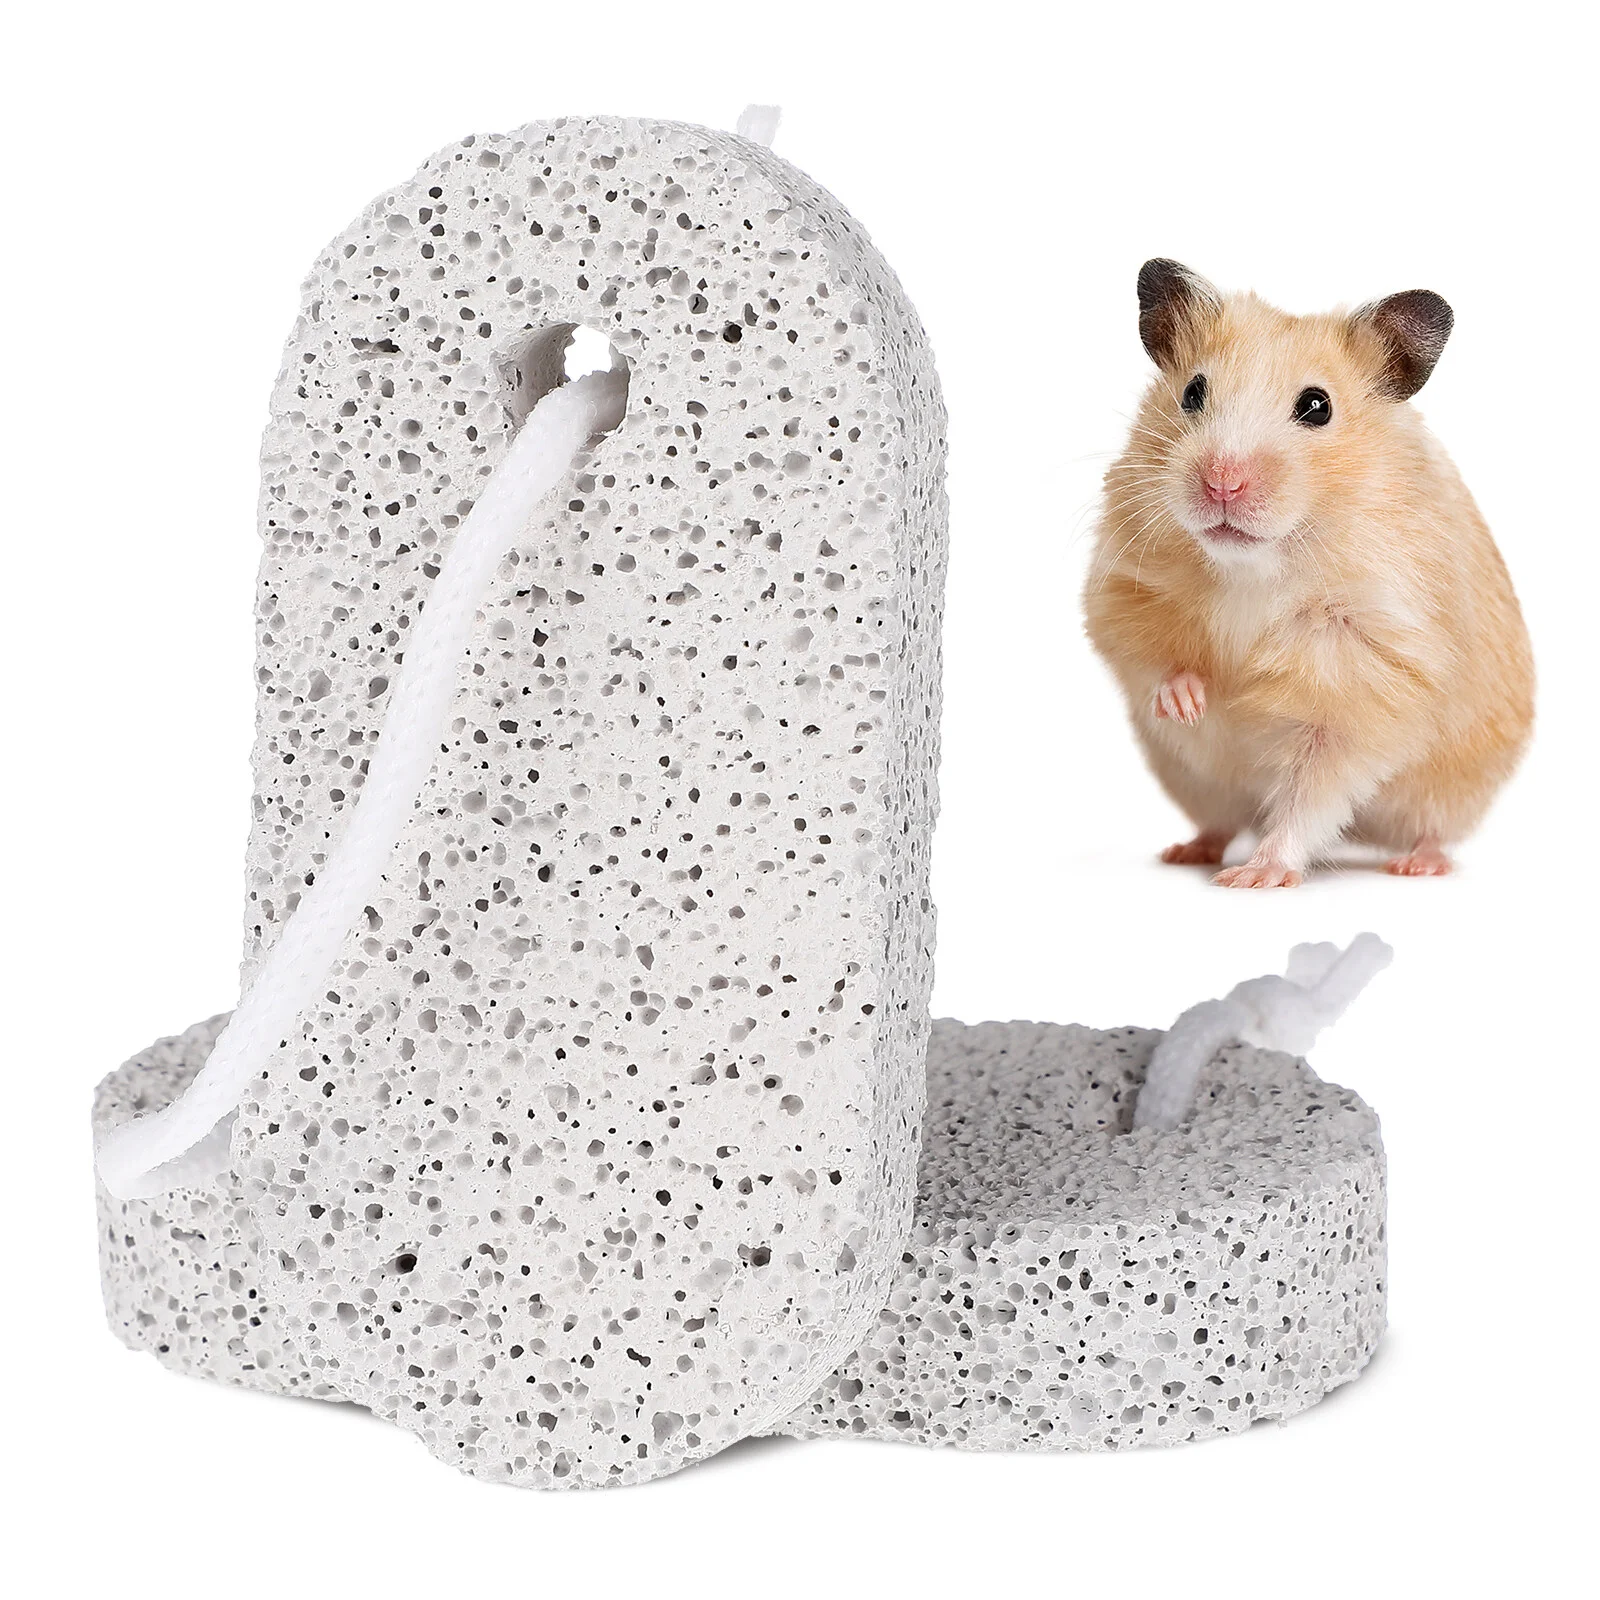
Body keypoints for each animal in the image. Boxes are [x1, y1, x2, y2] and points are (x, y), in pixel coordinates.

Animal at [1084, 260, 1533, 887]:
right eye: (1193, 392)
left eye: (1318, 406)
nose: (1222, 483)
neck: (1254, 567)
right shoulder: (1123, 584)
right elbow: (1150, 655)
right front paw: (1190, 702)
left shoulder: (1364, 680)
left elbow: (1311, 791)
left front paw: (1255, 878)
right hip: (1196, 782)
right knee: (1221, 821)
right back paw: (1186, 852)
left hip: (1454, 787)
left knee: (1431, 827)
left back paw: (1416, 865)